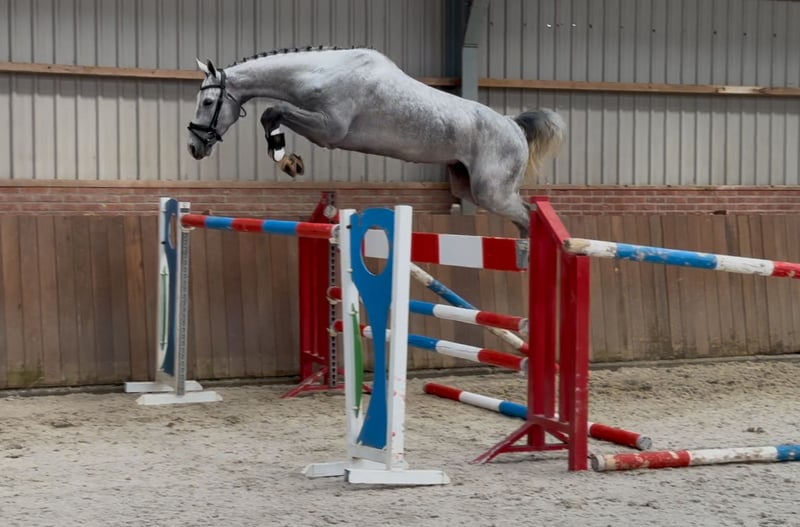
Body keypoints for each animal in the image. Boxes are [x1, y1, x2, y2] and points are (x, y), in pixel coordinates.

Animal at [187, 46, 565, 237]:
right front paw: (289, 160)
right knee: (523, 215)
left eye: (208, 102)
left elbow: (272, 112)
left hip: (491, 192)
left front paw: (285, 158)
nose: (194, 147)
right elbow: (273, 114)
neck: (321, 72)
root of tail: (514, 126)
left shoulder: (329, 130)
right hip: (467, 187)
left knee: (528, 215)